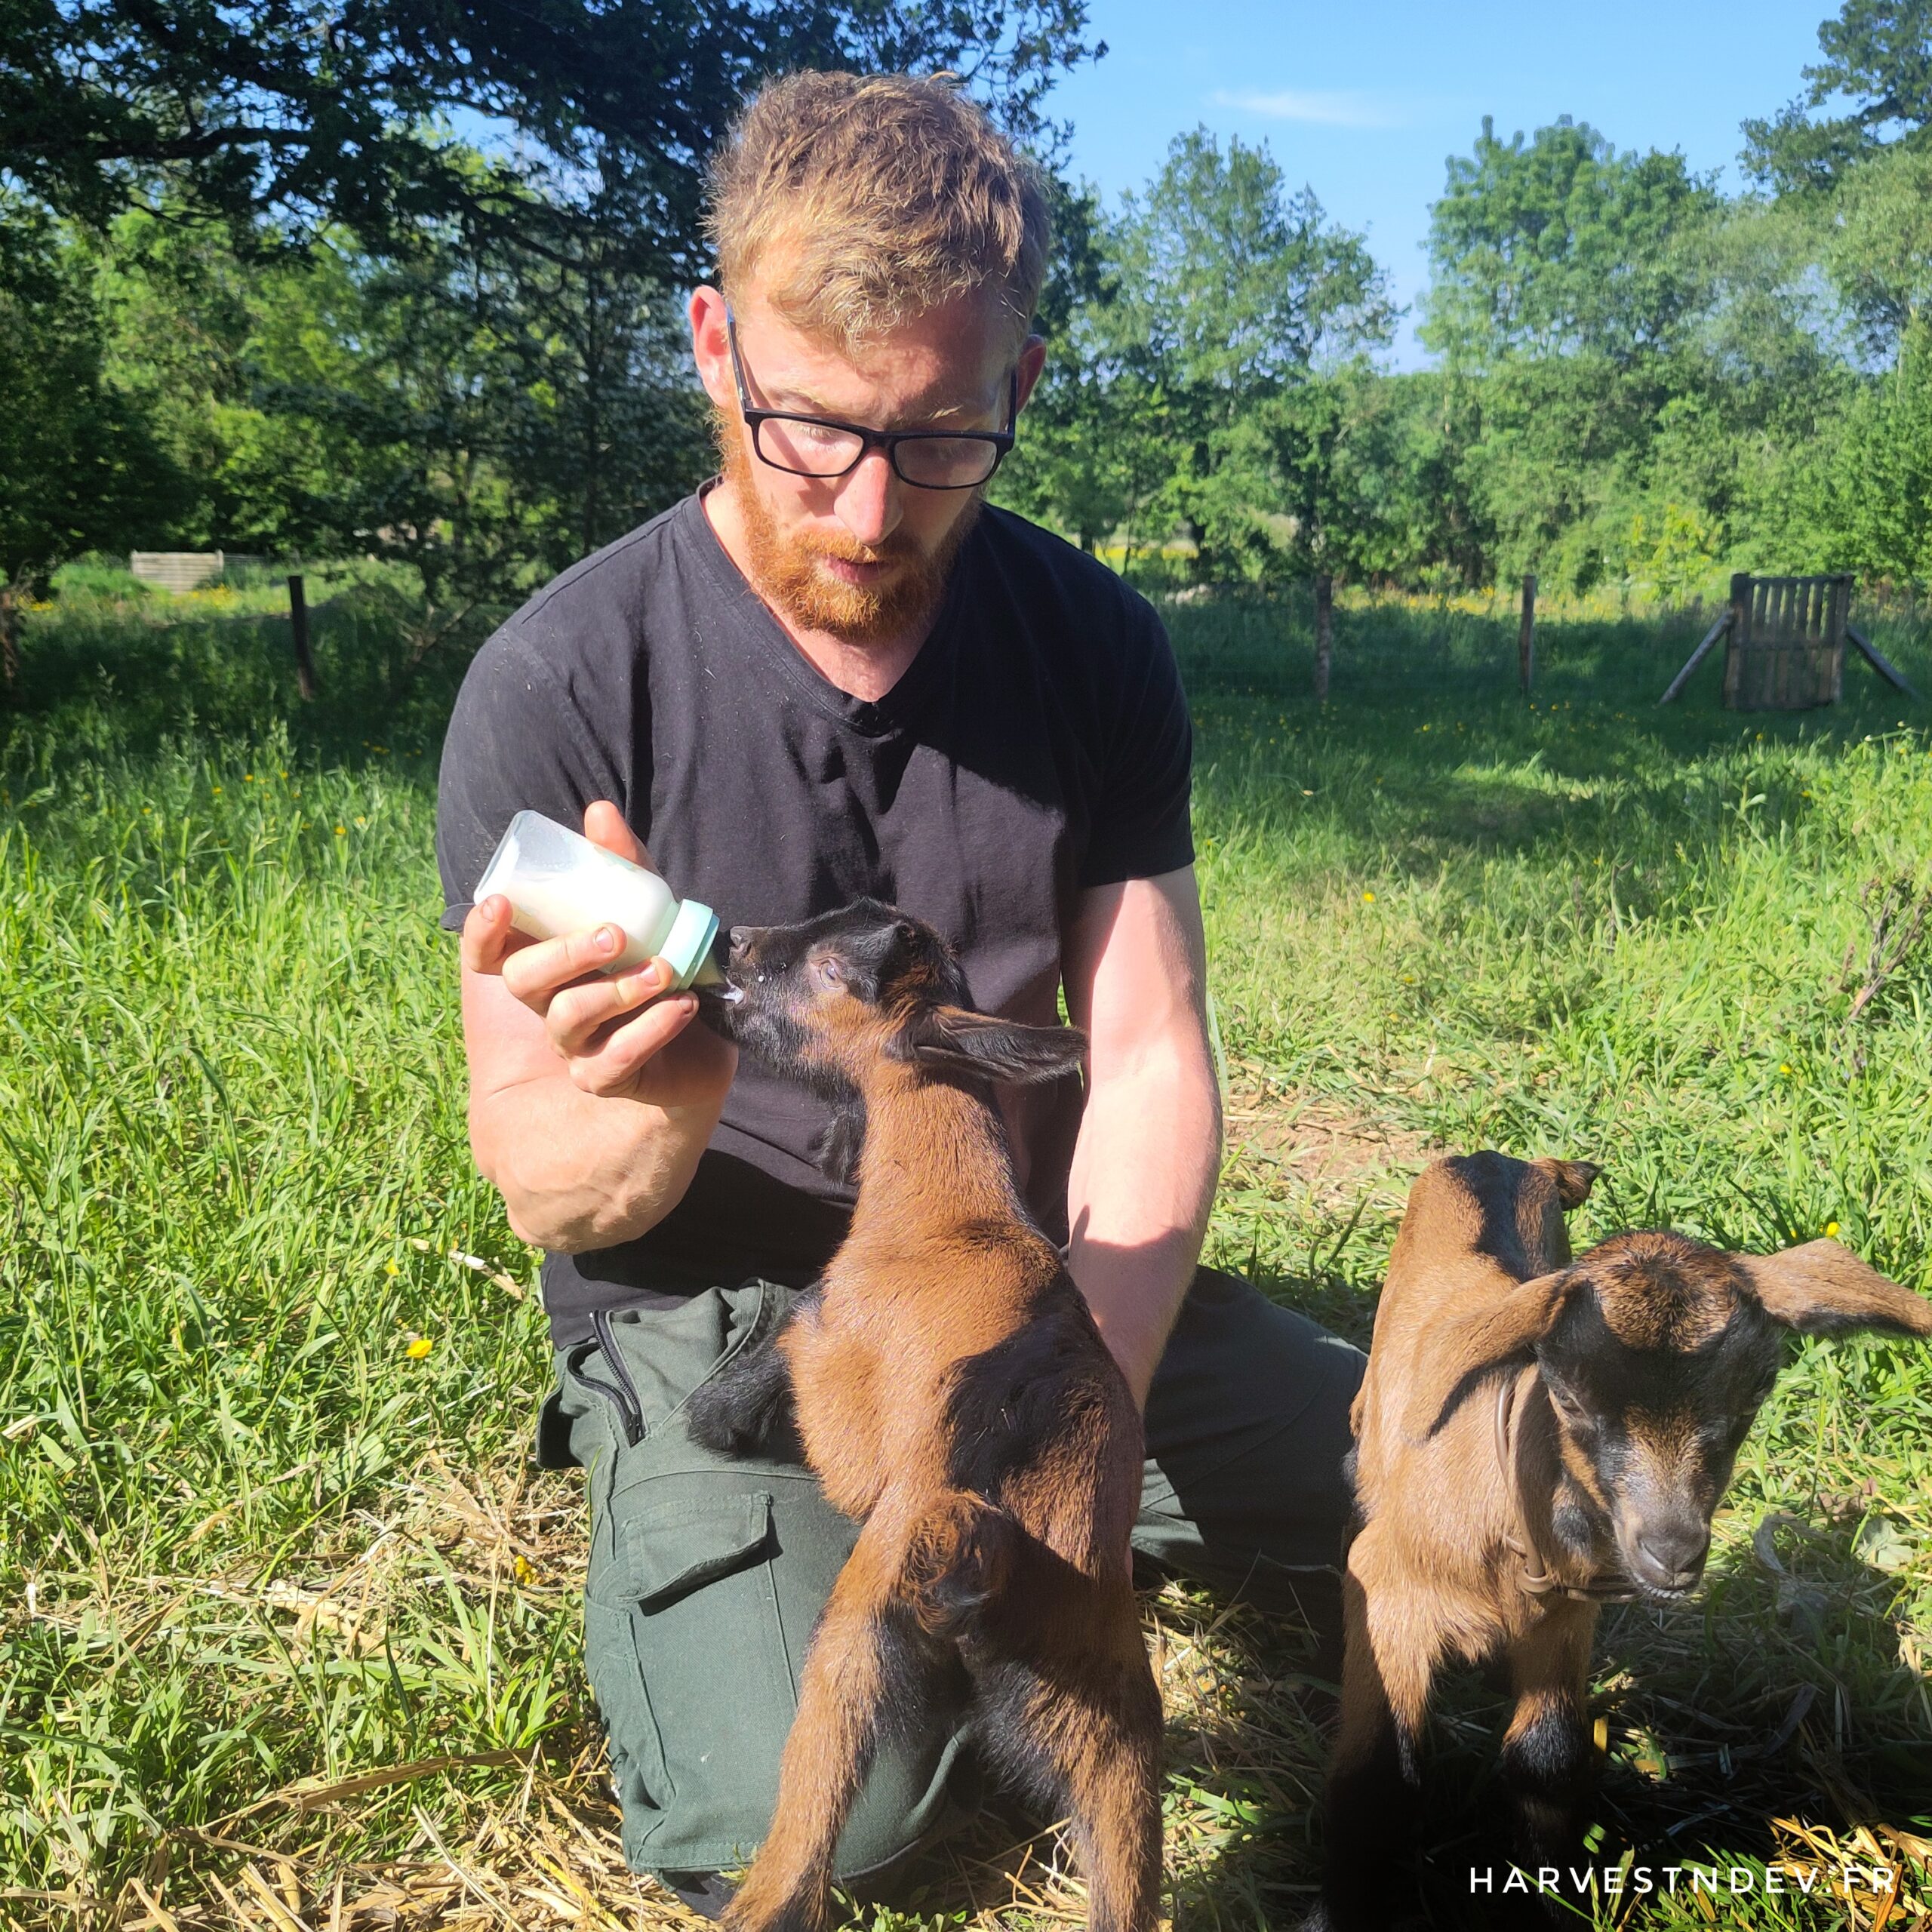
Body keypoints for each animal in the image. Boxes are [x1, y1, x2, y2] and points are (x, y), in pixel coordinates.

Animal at [684, 896, 1151, 1932]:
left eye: (826, 966)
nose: (735, 940)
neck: (953, 1208)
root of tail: (993, 1551)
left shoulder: (830, 1347)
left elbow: (784, 1328)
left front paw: (712, 1414)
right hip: (1106, 1714)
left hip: (860, 1626)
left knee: (801, 1847)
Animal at [1321, 1151, 1932, 1924]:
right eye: (1570, 1396)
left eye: (1755, 1393)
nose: (1671, 1551)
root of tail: (1493, 1158)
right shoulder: (1391, 1596)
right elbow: (1377, 1777)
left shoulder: (1563, 1614)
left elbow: (1546, 1757)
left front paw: (1549, 1899)